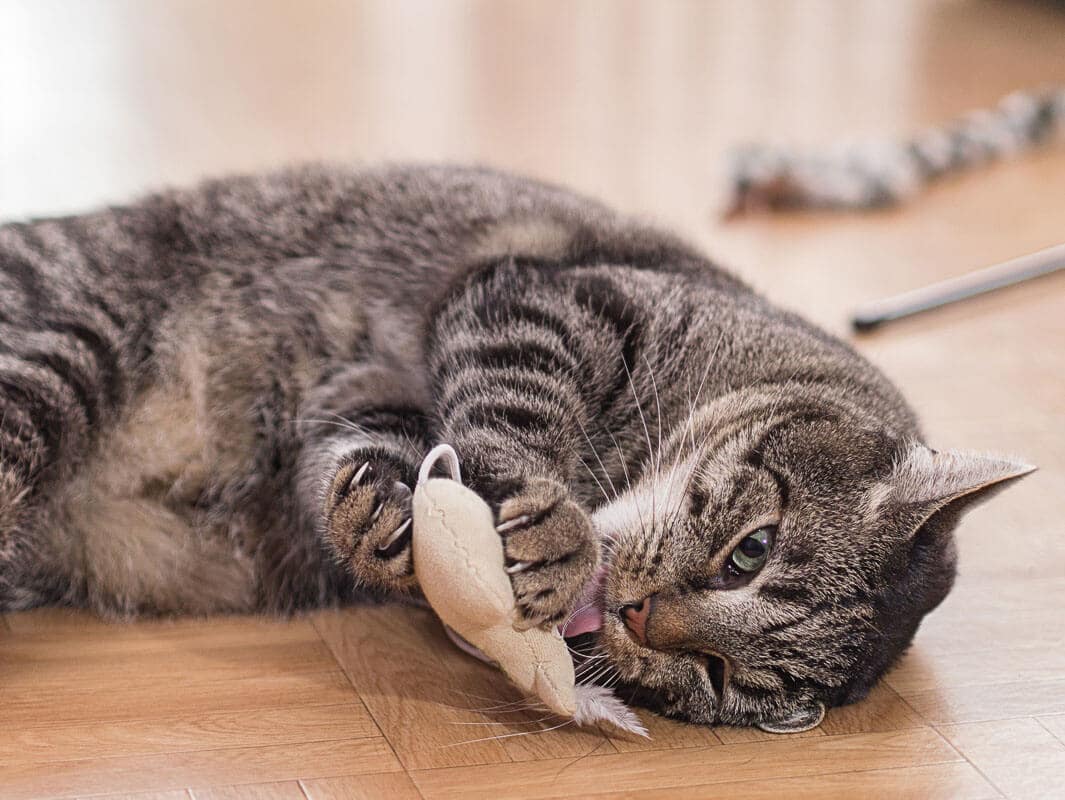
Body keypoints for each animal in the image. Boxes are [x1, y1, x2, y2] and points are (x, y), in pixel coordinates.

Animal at [0, 162, 1030, 732]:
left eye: (722, 677)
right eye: (752, 552)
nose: (641, 618)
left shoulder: (365, 394)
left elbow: (361, 460)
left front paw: (383, 519)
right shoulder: (541, 298)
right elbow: (511, 411)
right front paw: (551, 532)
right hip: (67, 348)